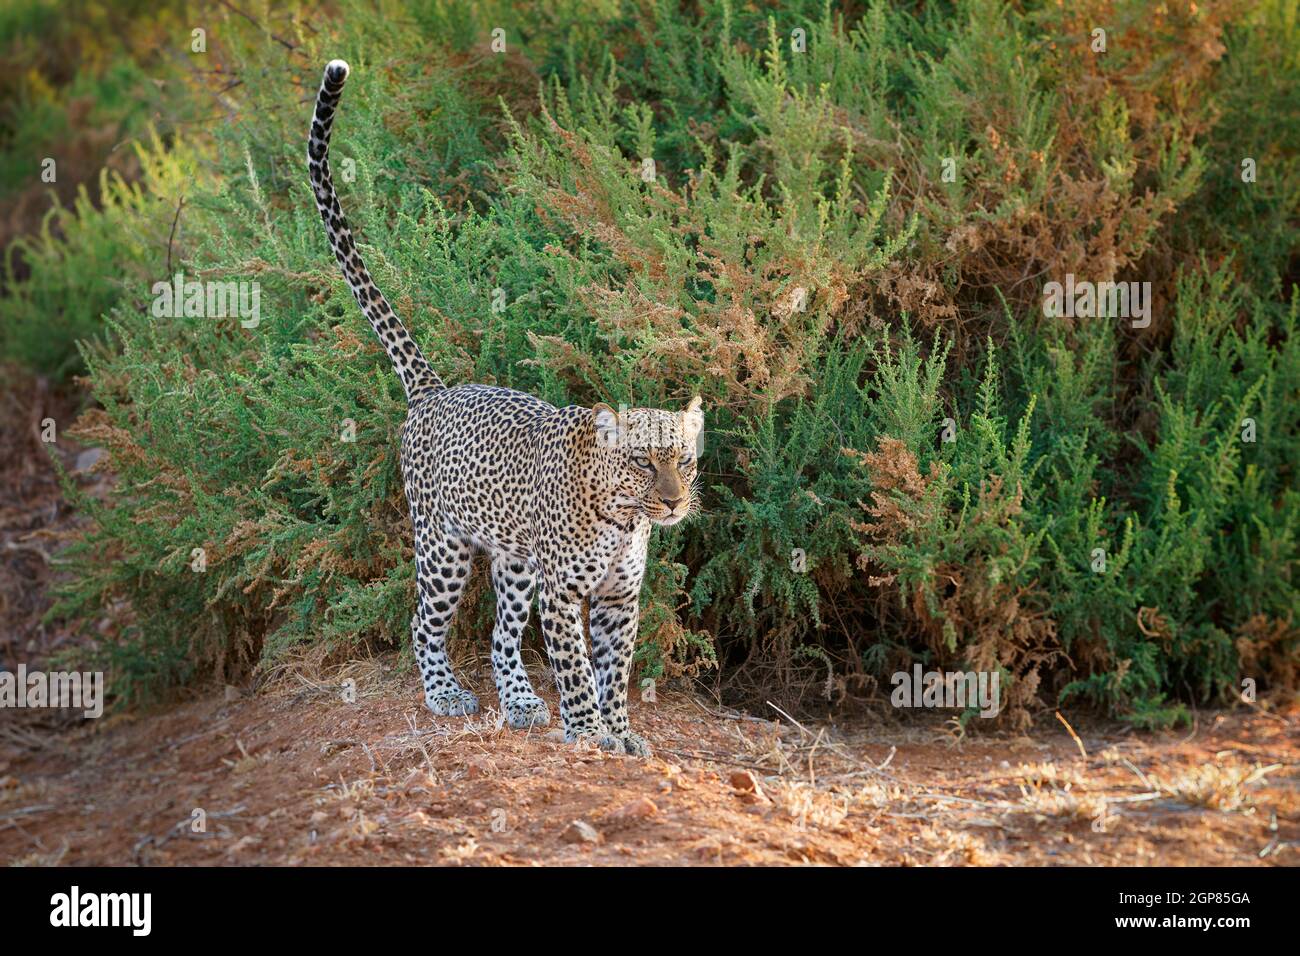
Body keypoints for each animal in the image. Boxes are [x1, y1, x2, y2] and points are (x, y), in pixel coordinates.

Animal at [307, 59, 702, 757]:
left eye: (683, 459)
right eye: (641, 463)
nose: (675, 501)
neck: (624, 519)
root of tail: (435, 390)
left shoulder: (619, 599)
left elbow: (617, 671)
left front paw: (621, 733)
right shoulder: (564, 592)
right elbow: (576, 667)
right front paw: (588, 731)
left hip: (514, 563)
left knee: (498, 636)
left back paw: (518, 700)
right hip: (443, 549)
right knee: (422, 623)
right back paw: (444, 694)